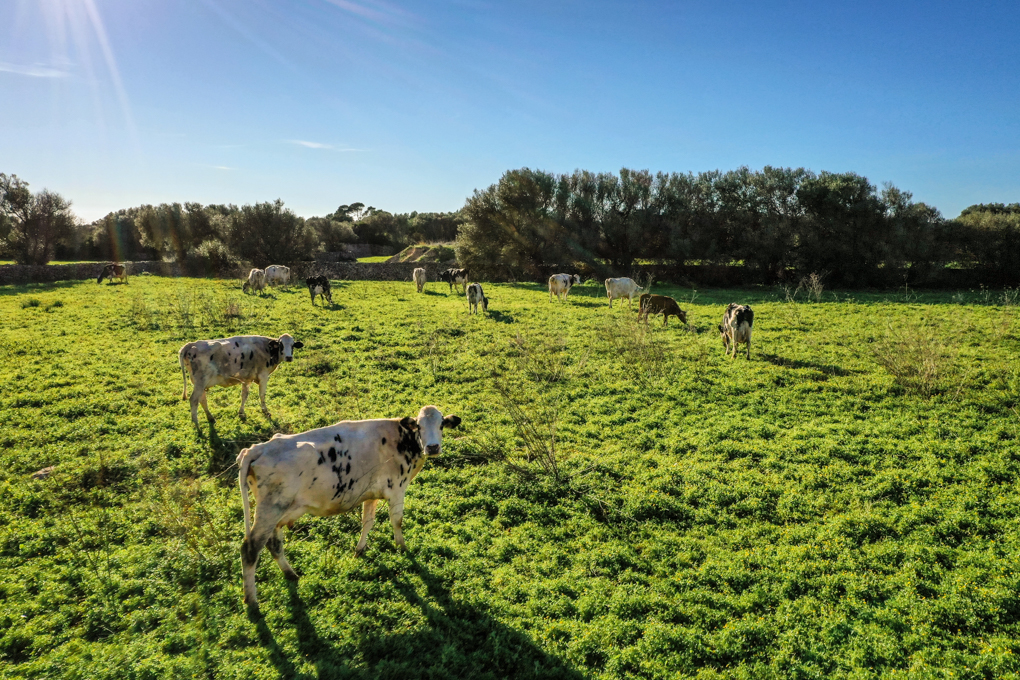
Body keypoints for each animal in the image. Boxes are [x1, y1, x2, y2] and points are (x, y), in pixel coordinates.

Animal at [234, 403, 463, 611]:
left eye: (441, 425)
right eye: (419, 426)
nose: (432, 447)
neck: (399, 440)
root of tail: (257, 448)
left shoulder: (371, 494)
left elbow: (367, 522)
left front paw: (359, 550)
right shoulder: (397, 489)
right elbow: (397, 521)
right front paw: (402, 548)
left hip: (279, 512)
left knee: (274, 544)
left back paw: (290, 574)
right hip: (270, 509)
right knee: (250, 549)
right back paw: (252, 601)